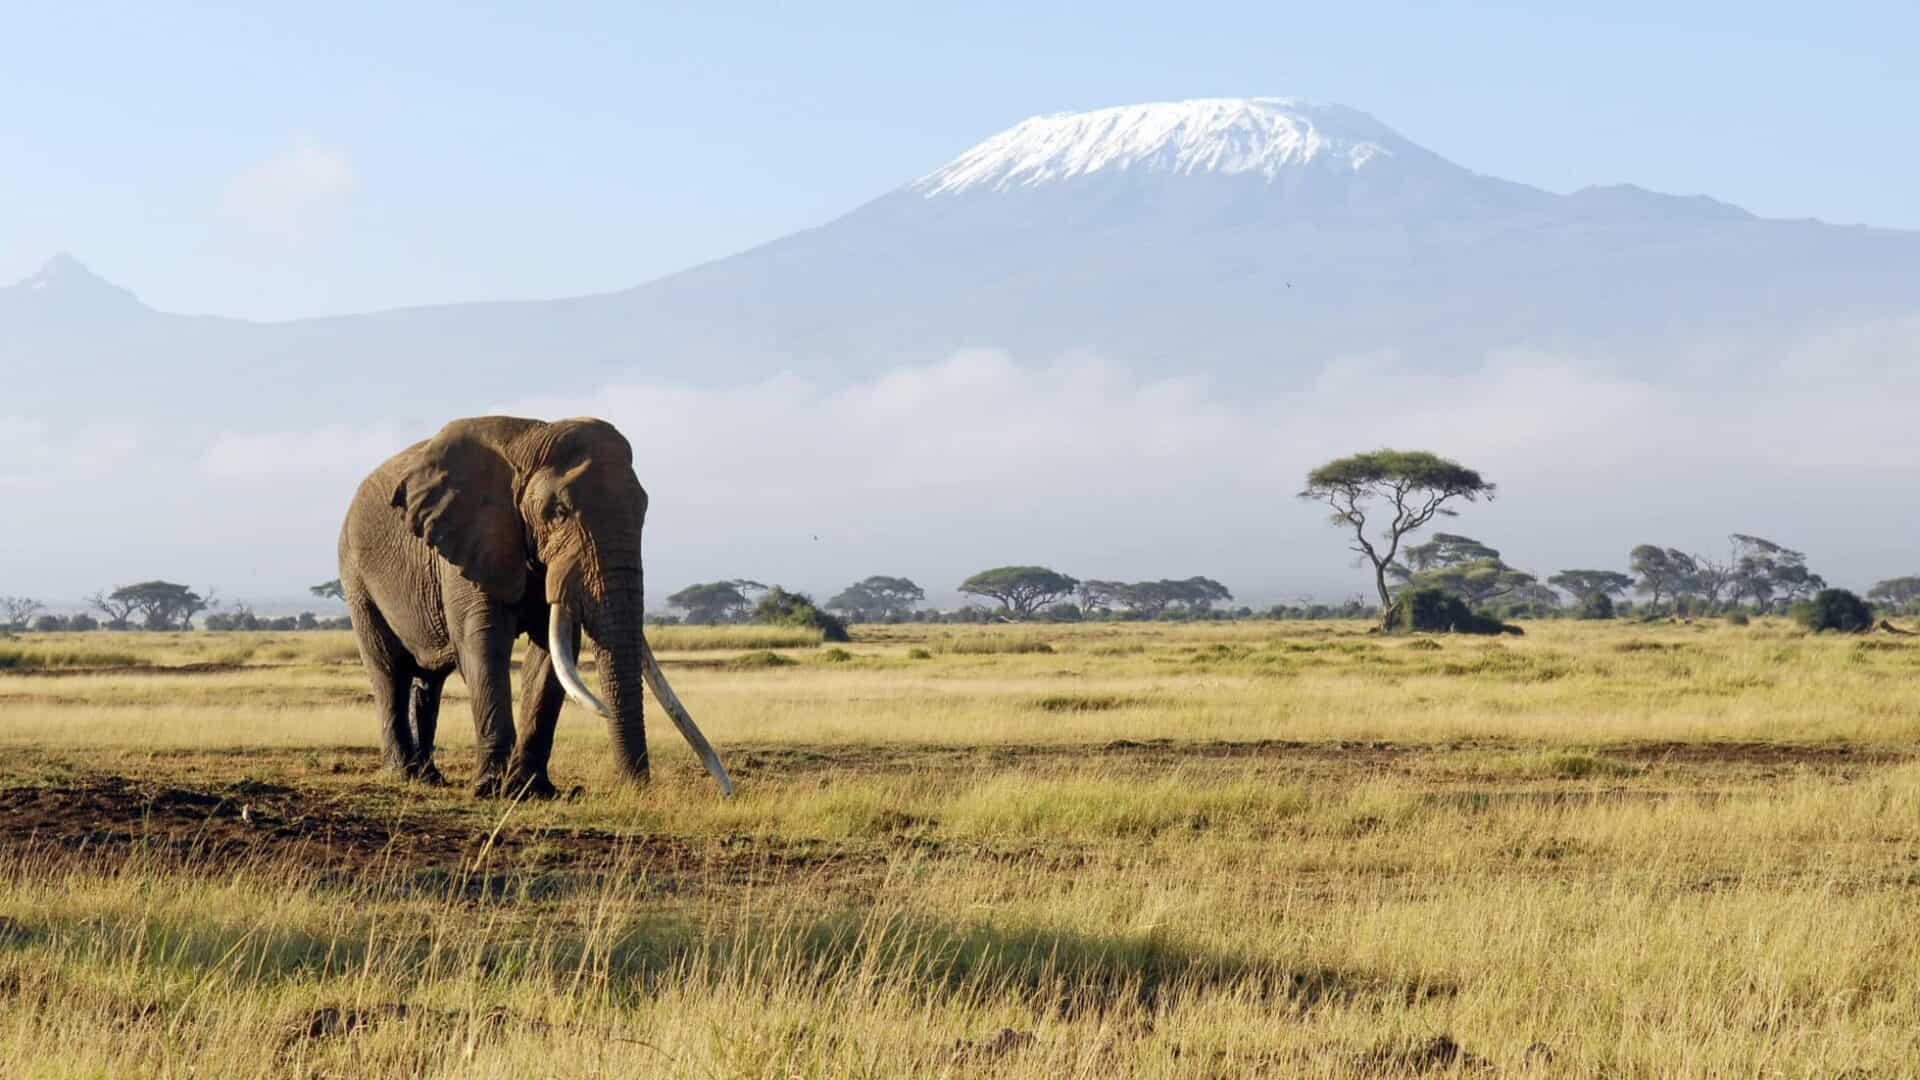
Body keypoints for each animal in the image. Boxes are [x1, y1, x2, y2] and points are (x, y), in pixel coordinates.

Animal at [336, 415, 733, 798]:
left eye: (644, 511)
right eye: (558, 512)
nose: (635, 788)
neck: (529, 440)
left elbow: (553, 653)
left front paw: (532, 789)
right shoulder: (472, 541)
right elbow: (484, 643)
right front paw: (492, 789)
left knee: (428, 682)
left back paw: (429, 777)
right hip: (355, 576)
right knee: (389, 671)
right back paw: (402, 774)